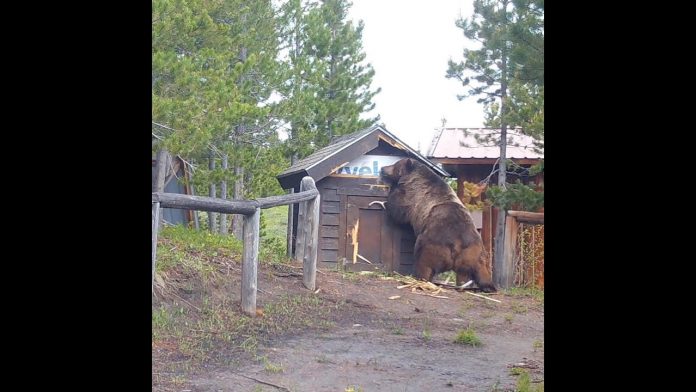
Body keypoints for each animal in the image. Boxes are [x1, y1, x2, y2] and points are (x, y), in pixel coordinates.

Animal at [378, 158, 498, 290]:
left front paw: (387, 197)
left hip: (432, 243)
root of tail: (457, 245)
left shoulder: (411, 196)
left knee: (423, 261)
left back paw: (419, 277)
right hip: (474, 251)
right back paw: (488, 286)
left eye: (394, 164)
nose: (382, 168)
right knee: (481, 268)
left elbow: (398, 209)